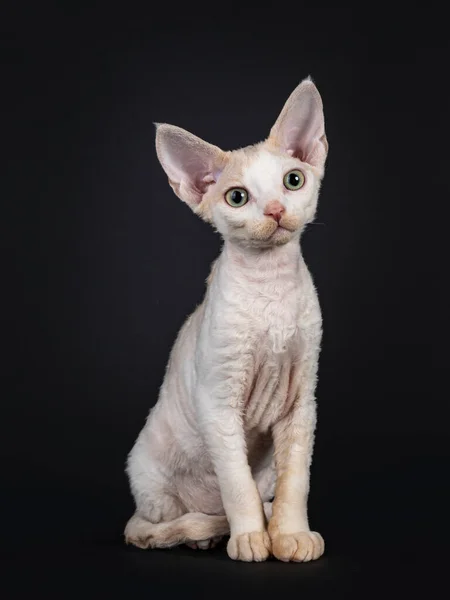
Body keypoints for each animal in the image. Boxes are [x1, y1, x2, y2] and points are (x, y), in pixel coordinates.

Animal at [125, 76, 328, 564]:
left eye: (293, 181)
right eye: (238, 197)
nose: (275, 210)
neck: (271, 287)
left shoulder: (301, 401)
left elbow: (297, 480)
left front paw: (289, 534)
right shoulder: (218, 401)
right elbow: (237, 486)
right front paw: (252, 537)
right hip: (150, 480)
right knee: (149, 527)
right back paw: (204, 533)